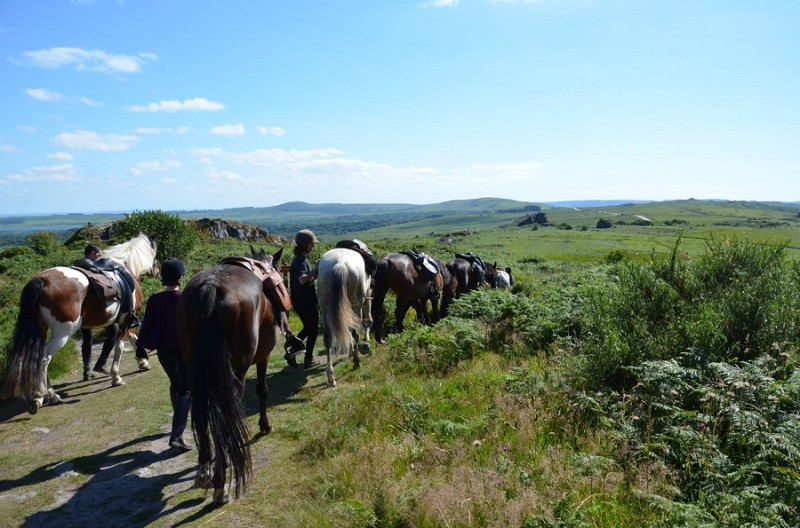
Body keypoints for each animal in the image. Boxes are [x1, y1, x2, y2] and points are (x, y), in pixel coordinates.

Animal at [1, 233, 158, 414]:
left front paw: (143, 361)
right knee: (45, 359)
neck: (125, 267)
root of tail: (42, 280)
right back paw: (49, 396)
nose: (157, 270)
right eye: (155, 251)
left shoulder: (121, 320)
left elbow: (133, 338)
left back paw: (41, 396)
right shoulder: (125, 320)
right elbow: (120, 346)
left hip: (42, 329)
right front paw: (117, 377)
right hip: (63, 332)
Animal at [177, 246, 286, 504]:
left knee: (201, 408)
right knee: (224, 411)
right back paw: (221, 482)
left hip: (196, 368)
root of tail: (210, 288)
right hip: (235, 371)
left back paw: (205, 470)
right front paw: (265, 426)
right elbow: (262, 391)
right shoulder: (263, 356)